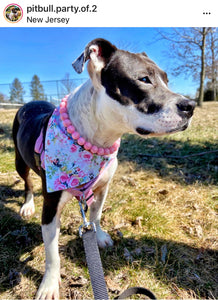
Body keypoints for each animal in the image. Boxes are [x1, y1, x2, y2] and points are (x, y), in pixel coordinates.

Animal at [12, 38, 195, 298]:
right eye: (144, 79)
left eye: (166, 80)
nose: (191, 106)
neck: (97, 141)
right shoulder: (51, 209)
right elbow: (52, 254)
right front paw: (48, 285)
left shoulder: (102, 188)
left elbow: (95, 215)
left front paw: (98, 236)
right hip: (20, 161)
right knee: (27, 183)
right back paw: (27, 205)